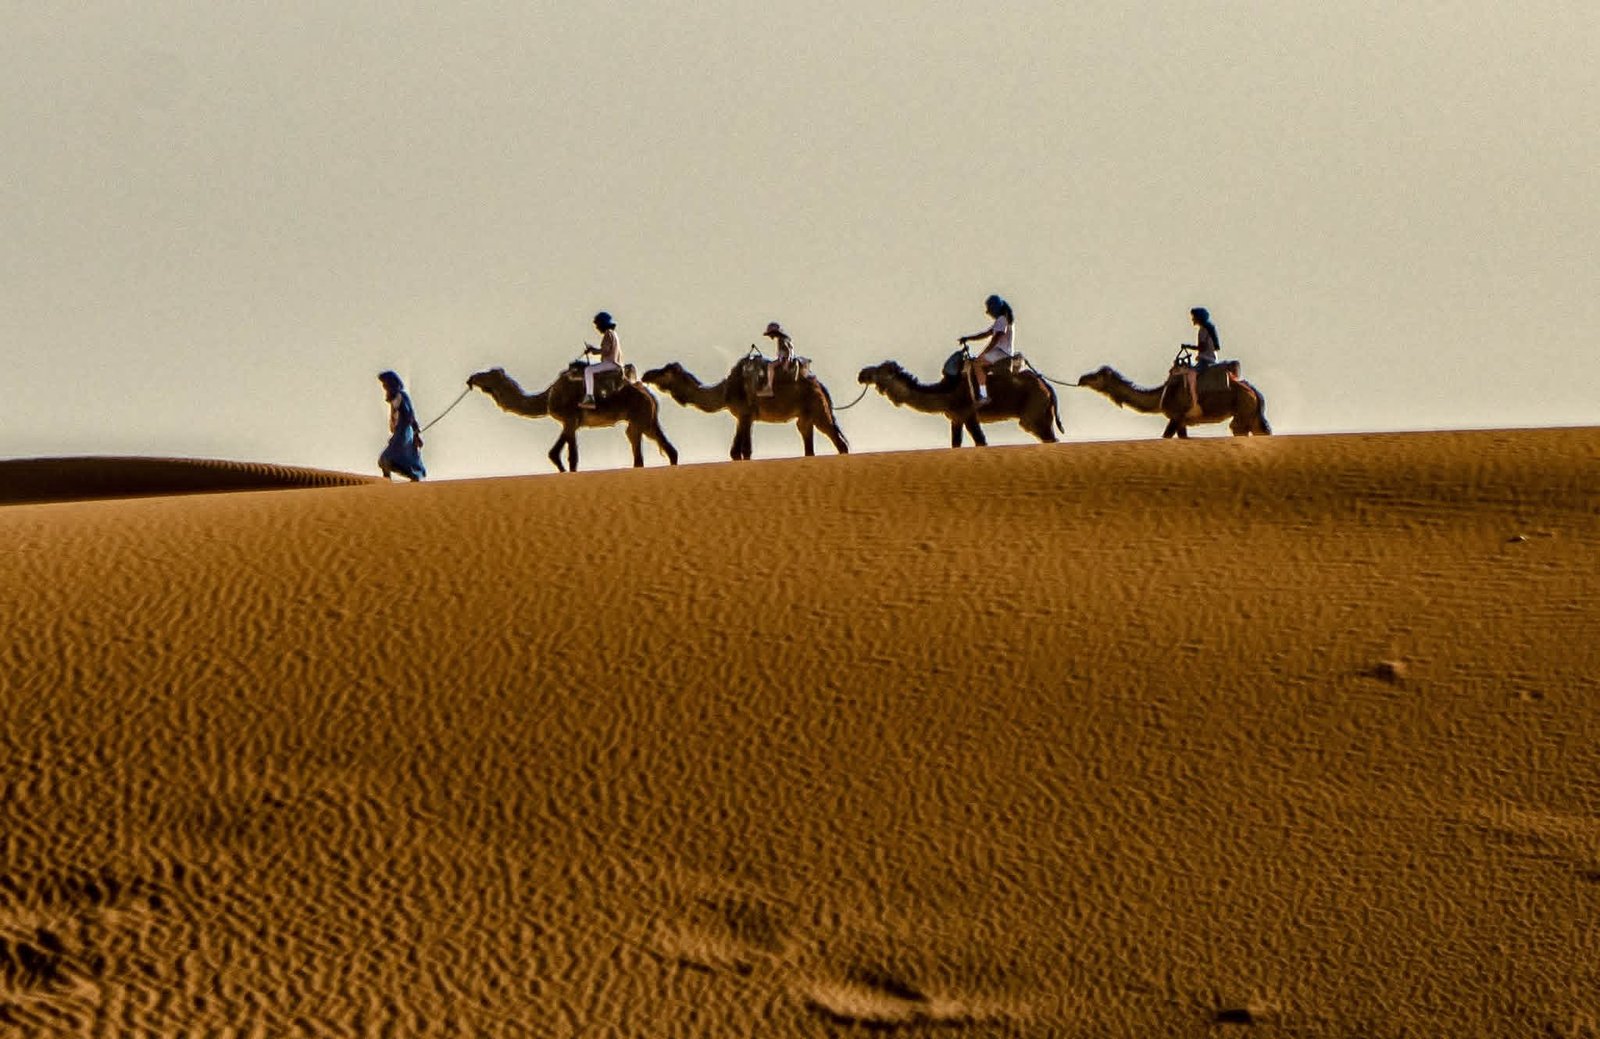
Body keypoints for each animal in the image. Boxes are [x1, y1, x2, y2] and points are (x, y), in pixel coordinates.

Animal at [466, 365, 679, 472]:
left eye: (489, 374)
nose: (472, 378)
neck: (548, 396)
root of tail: (650, 395)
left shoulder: (569, 419)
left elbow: (566, 456)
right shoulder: (571, 423)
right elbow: (561, 455)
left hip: (640, 416)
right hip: (645, 420)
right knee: (658, 448)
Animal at [640, 357, 849, 460]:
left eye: (665, 371)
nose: (646, 374)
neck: (725, 391)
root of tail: (820, 386)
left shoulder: (746, 415)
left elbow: (745, 451)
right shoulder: (741, 417)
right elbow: (735, 453)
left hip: (818, 409)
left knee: (839, 441)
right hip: (805, 417)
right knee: (808, 442)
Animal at [856, 350, 1063, 446]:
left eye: (880, 371)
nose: (862, 374)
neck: (946, 392)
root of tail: (1047, 387)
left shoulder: (968, 413)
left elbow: (981, 442)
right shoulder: (955, 418)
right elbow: (955, 444)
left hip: (1033, 413)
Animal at [1076, 363, 1271, 438]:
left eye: (1097, 376)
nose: (1081, 378)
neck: (1161, 395)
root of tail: (1255, 392)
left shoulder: (1176, 416)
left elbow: (1165, 437)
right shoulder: (1182, 421)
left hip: (1243, 409)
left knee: (1238, 428)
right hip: (1252, 414)